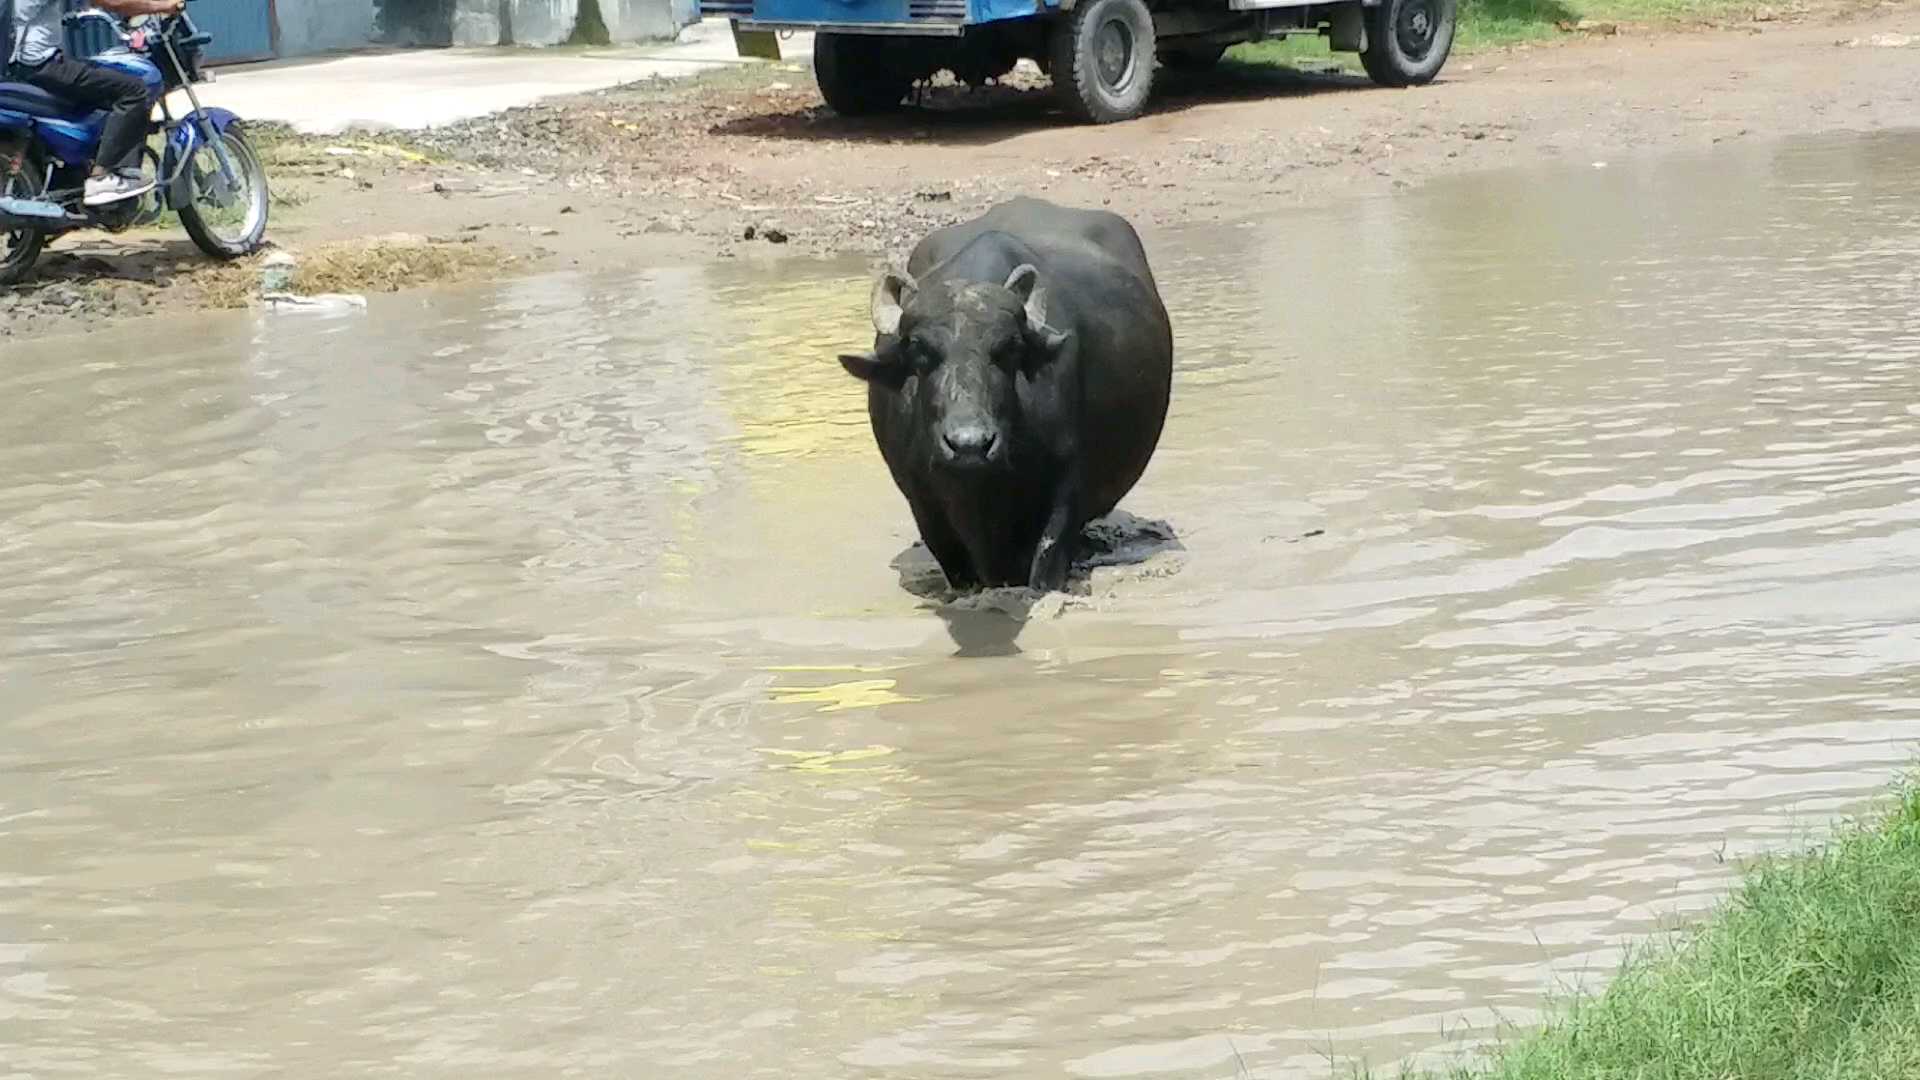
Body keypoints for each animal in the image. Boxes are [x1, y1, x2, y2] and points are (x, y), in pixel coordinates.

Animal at [837, 197, 1167, 591]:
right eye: (919, 350)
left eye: (1010, 348)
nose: (969, 445)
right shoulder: (922, 500)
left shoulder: (1066, 487)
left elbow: (1047, 556)